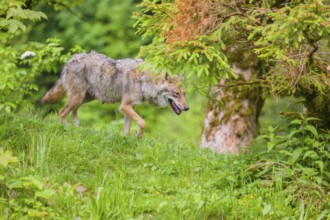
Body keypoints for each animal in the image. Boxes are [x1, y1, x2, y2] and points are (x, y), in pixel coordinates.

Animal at [42, 51, 188, 138]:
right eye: (176, 94)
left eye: (184, 94)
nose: (187, 108)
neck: (145, 81)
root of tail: (70, 60)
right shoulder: (124, 106)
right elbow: (142, 122)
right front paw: (138, 136)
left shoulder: (129, 107)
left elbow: (127, 130)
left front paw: (128, 140)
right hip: (78, 98)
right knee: (62, 112)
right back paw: (67, 129)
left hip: (85, 98)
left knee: (72, 111)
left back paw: (77, 127)